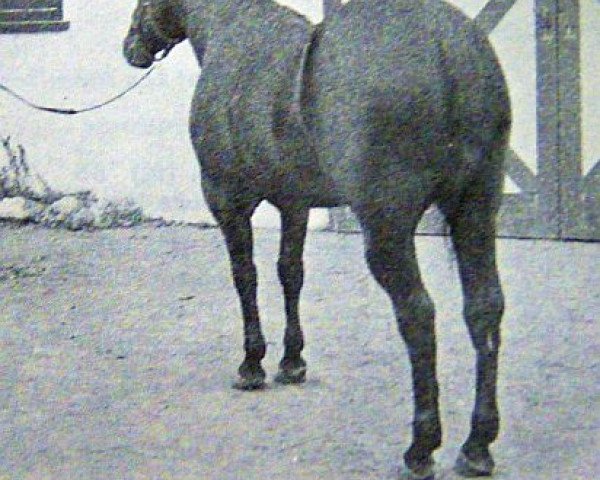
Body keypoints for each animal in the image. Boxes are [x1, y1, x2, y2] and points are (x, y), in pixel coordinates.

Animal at [124, 0, 512, 476]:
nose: (131, 47)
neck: (234, 34)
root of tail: (446, 46)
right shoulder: (295, 203)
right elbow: (290, 274)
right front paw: (292, 363)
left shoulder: (227, 201)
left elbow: (246, 278)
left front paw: (252, 364)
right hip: (475, 213)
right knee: (484, 310)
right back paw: (477, 446)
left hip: (387, 229)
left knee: (418, 316)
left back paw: (421, 447)